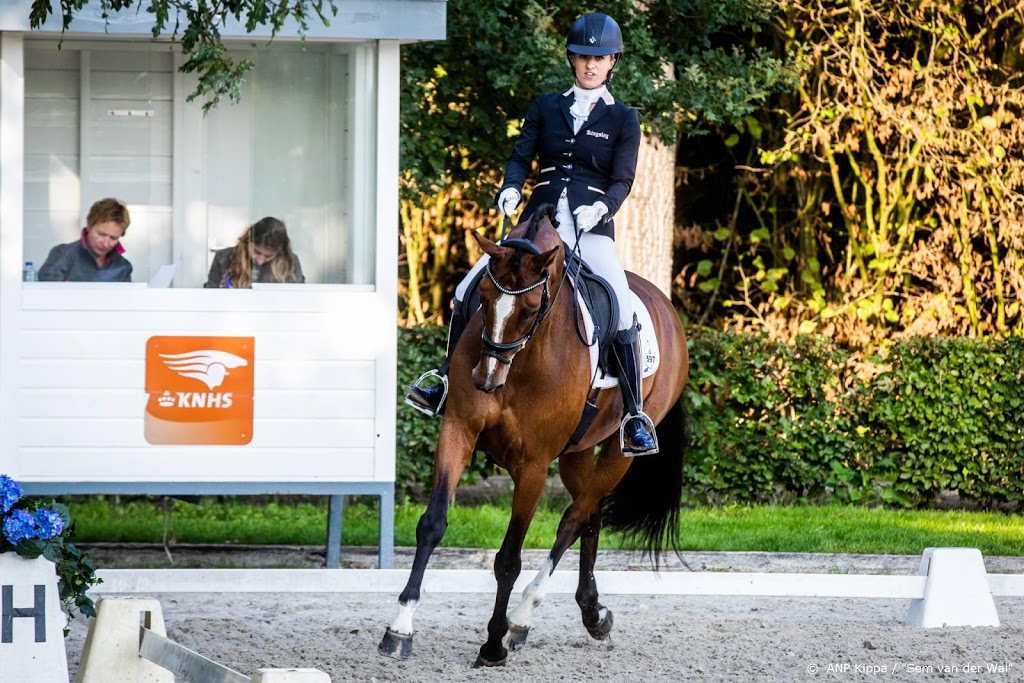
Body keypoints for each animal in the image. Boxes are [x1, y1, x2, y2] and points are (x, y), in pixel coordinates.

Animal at [376, 206, 688, 667]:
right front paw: (400, 627)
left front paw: (492, 644)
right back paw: (592, 613)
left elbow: (509, 558)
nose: (485, 380)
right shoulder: (458, 430)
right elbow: (432, 523)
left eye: (527, 310)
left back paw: (523, 616)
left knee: (572, 519)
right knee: (590, 515)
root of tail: (663, 302)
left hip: (620, 453)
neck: (522, 363)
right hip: (578, 451)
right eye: (483, 297)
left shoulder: (534, 466)